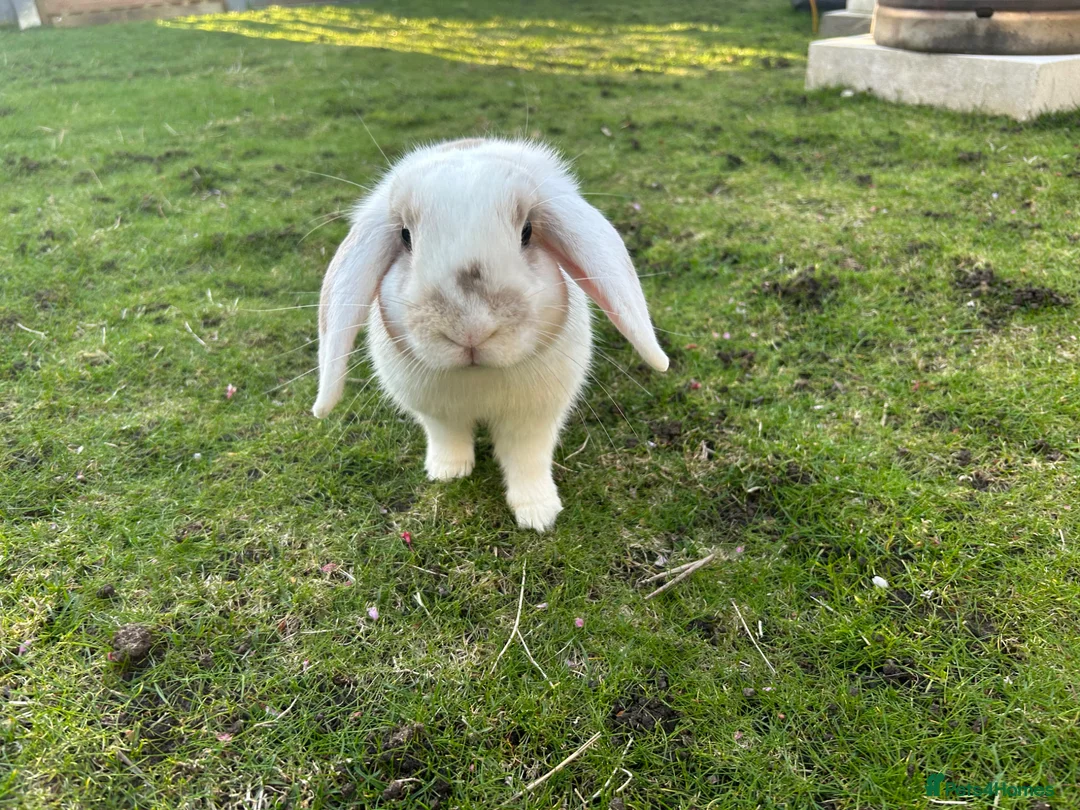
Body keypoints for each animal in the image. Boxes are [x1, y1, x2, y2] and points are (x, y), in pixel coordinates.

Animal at [312, 138, 668, 531]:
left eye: (527, 232)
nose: (470, 328)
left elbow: (527, 460)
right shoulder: (438, 416)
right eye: (405, 236)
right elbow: (448, 438)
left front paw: (538, 513)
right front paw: (448, 473)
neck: (478, 378)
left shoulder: (534, 420)